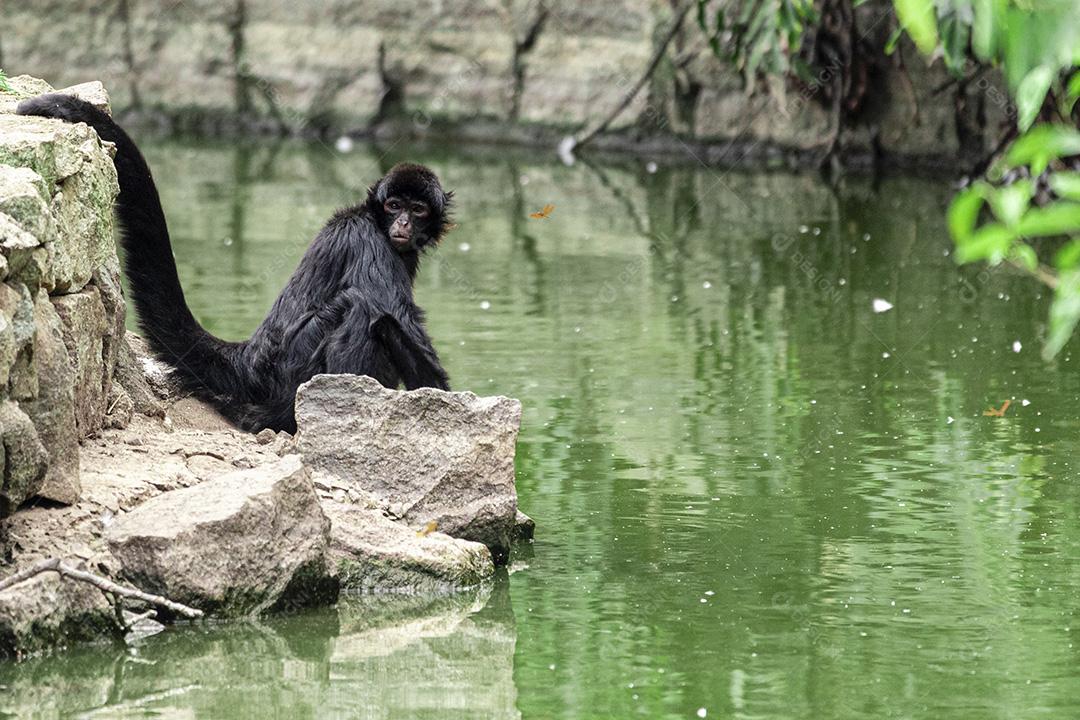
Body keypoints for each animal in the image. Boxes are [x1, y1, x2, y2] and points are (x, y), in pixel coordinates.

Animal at [17, 93, 451, 433]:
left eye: (417, 210)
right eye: (394, 206)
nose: (402, 224)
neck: (374, 220)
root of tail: (249, 361)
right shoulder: (369, 241)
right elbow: (394, 316)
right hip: (290, 375)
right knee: (361, 307)